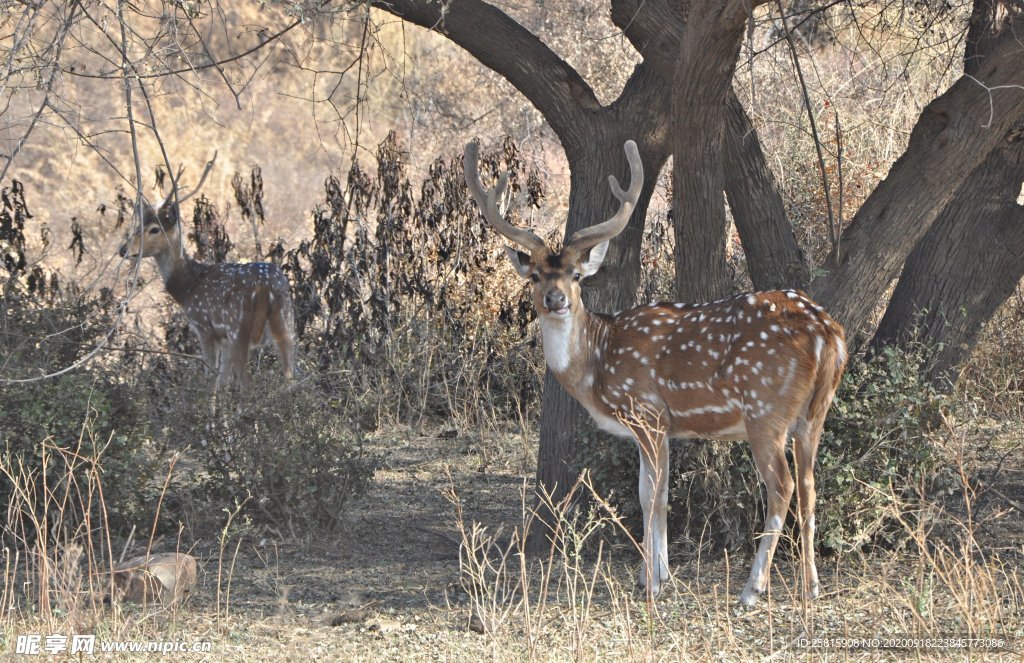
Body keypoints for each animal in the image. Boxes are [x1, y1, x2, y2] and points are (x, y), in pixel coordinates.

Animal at [120, 156, 296, 391]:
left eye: (154, 229)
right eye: (138, 225)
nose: (123, 249)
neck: (188, 286)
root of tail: (265, 287)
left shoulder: (205, 328)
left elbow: (210, 379)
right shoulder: (224, 339)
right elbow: (222, 382)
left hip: (238, 328)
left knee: (248, 383)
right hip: (285, 322)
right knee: (290, 377)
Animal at [464, 140, 847, 606]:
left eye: (576, 275)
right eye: (535, 275)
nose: (556, 299)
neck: (596, 364)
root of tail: (827, 332)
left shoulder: (647, 412)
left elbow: (653, 498)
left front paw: (653, 581)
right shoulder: (656, 425)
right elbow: (652, 492)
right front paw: (657, 575)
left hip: (765, 410)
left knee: (783, 488)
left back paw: (752, 589)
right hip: (814, 413)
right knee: (810, 484)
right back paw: (811, 586)